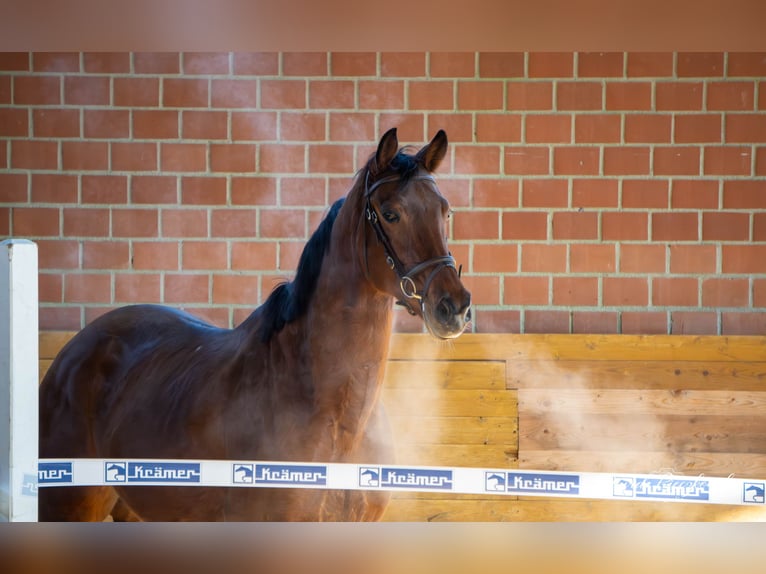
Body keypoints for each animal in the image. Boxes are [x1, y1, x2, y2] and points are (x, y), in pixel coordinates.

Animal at [38, 128, 472, 521]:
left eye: (444, 211)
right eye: (390, 213)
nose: (454, 306)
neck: (335, 414)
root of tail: (73, 353)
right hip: (68, 508)